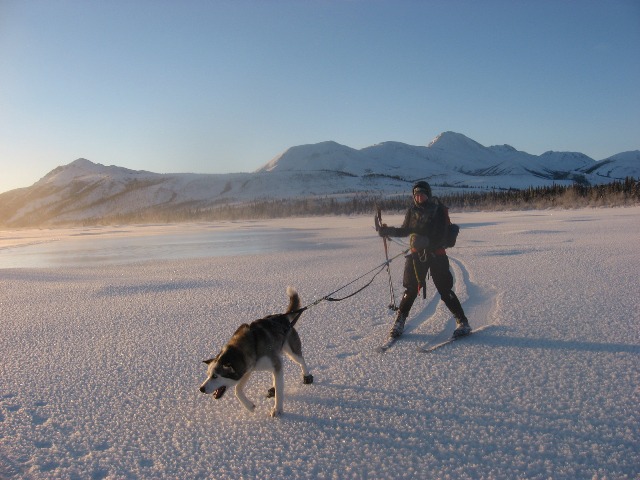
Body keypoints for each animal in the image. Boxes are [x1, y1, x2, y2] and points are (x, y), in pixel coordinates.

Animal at [198, 284, 312, 416]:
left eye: (215, 376)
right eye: (208, 375)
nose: (201, 389)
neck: (252, 345)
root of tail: (283, 318)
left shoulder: (273, 365)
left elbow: (279, 390)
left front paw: (277, 409)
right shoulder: (248, 368)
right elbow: (237, 389)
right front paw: (249, 406)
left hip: (292, 352)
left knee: (301, 360)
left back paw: (306, 375)